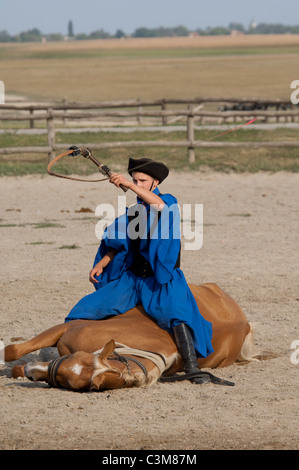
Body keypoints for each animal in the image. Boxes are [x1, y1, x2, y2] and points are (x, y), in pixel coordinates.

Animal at [4, 282, 258, 390]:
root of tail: (244, 323)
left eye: (70, 381)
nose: (31, 370)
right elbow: (13, 351)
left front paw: (21, 371)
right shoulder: (66, 328)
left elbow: (17, 360)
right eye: (73, 359)